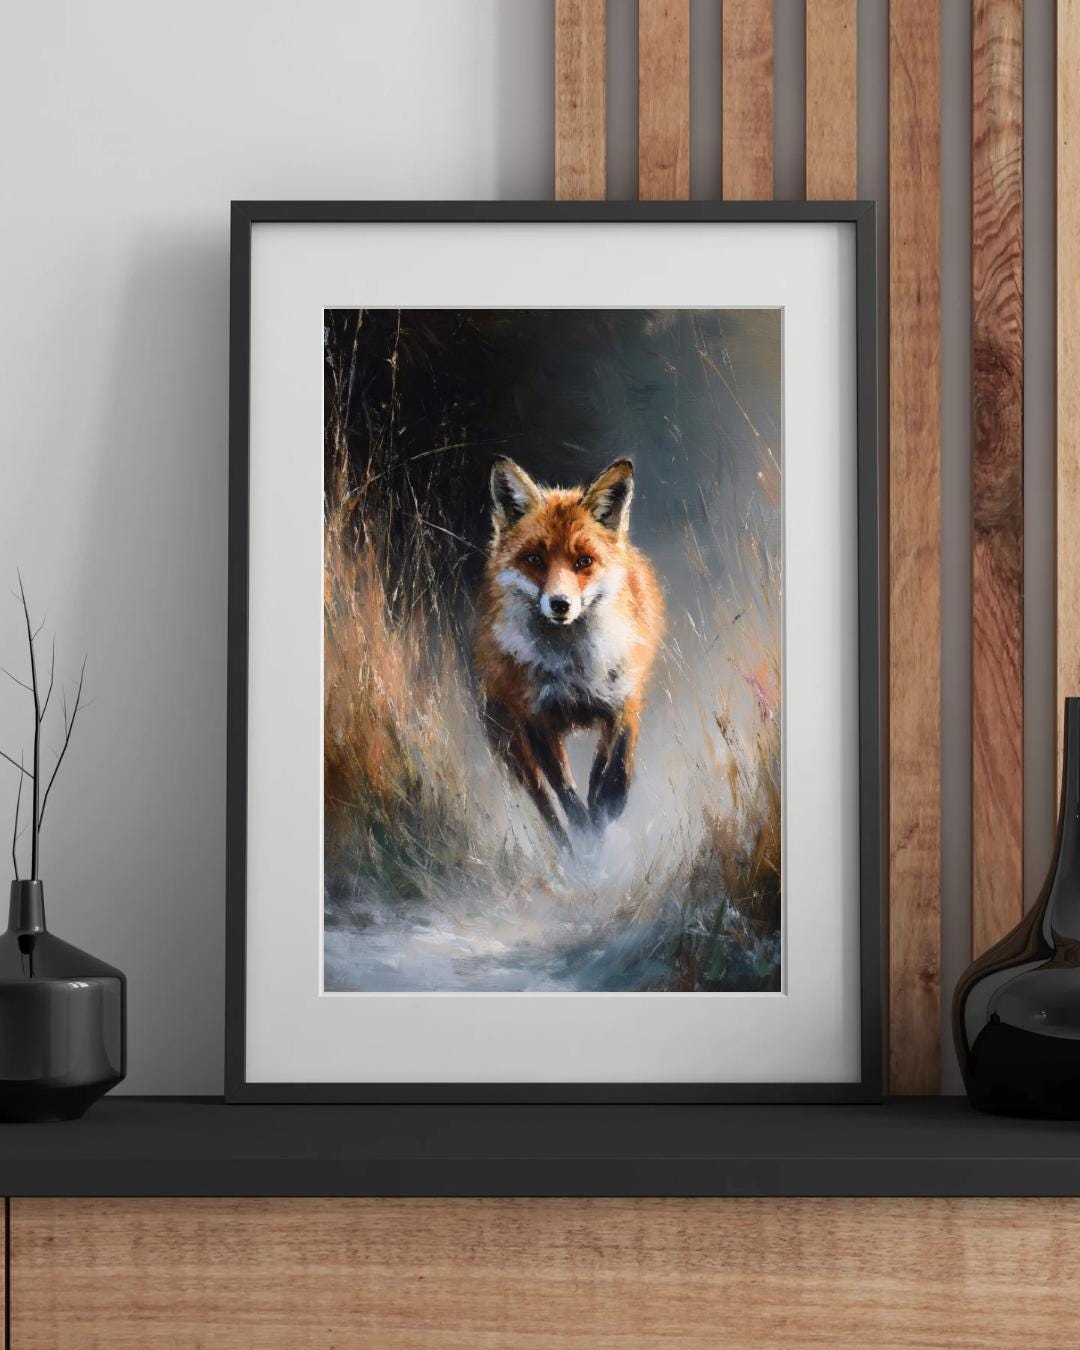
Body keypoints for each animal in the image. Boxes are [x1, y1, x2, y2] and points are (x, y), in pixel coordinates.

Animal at [473, 456, 664, 845]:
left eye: (584, 562)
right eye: (535, 559)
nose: (560, 604)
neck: (575, 668)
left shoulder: (624, 700)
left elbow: (614, 773)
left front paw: (606, 810)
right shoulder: (536, 718)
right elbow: (566, 794)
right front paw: (586, 836)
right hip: (512, 746)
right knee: (547, 807)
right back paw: (569, 850)